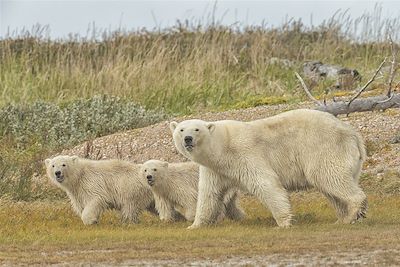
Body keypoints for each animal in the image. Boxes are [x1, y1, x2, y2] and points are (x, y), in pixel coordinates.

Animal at [170, 109, 368, 228]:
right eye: (181, 129)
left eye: (197, 129)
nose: (187, 139)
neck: (222, 148)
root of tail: (353, 133)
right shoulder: (215, 170)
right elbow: (208, 194)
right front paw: (194, 225)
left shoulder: (245, 154)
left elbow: (266, 184)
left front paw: (283, 222)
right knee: (331, 187)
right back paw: (341, 218)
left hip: (324, 147)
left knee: (330, 177)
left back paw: (352, 213)